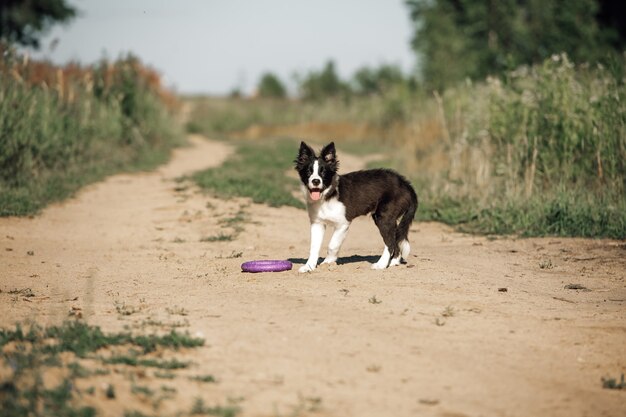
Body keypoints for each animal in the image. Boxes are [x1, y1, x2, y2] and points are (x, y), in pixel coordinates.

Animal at [294, 141, 420, 272]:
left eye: (323, 172)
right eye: (308, 172)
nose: (316, 181)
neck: (328, 195)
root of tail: (406, 184)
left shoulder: (343, 223)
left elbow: (332, 245)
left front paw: (328, 262)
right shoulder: (317, 223)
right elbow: (314, 247)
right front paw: (309, 266)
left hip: (383, 217)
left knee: (390, 242)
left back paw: (381, 265)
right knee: (395, 239)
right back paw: (393, 262)